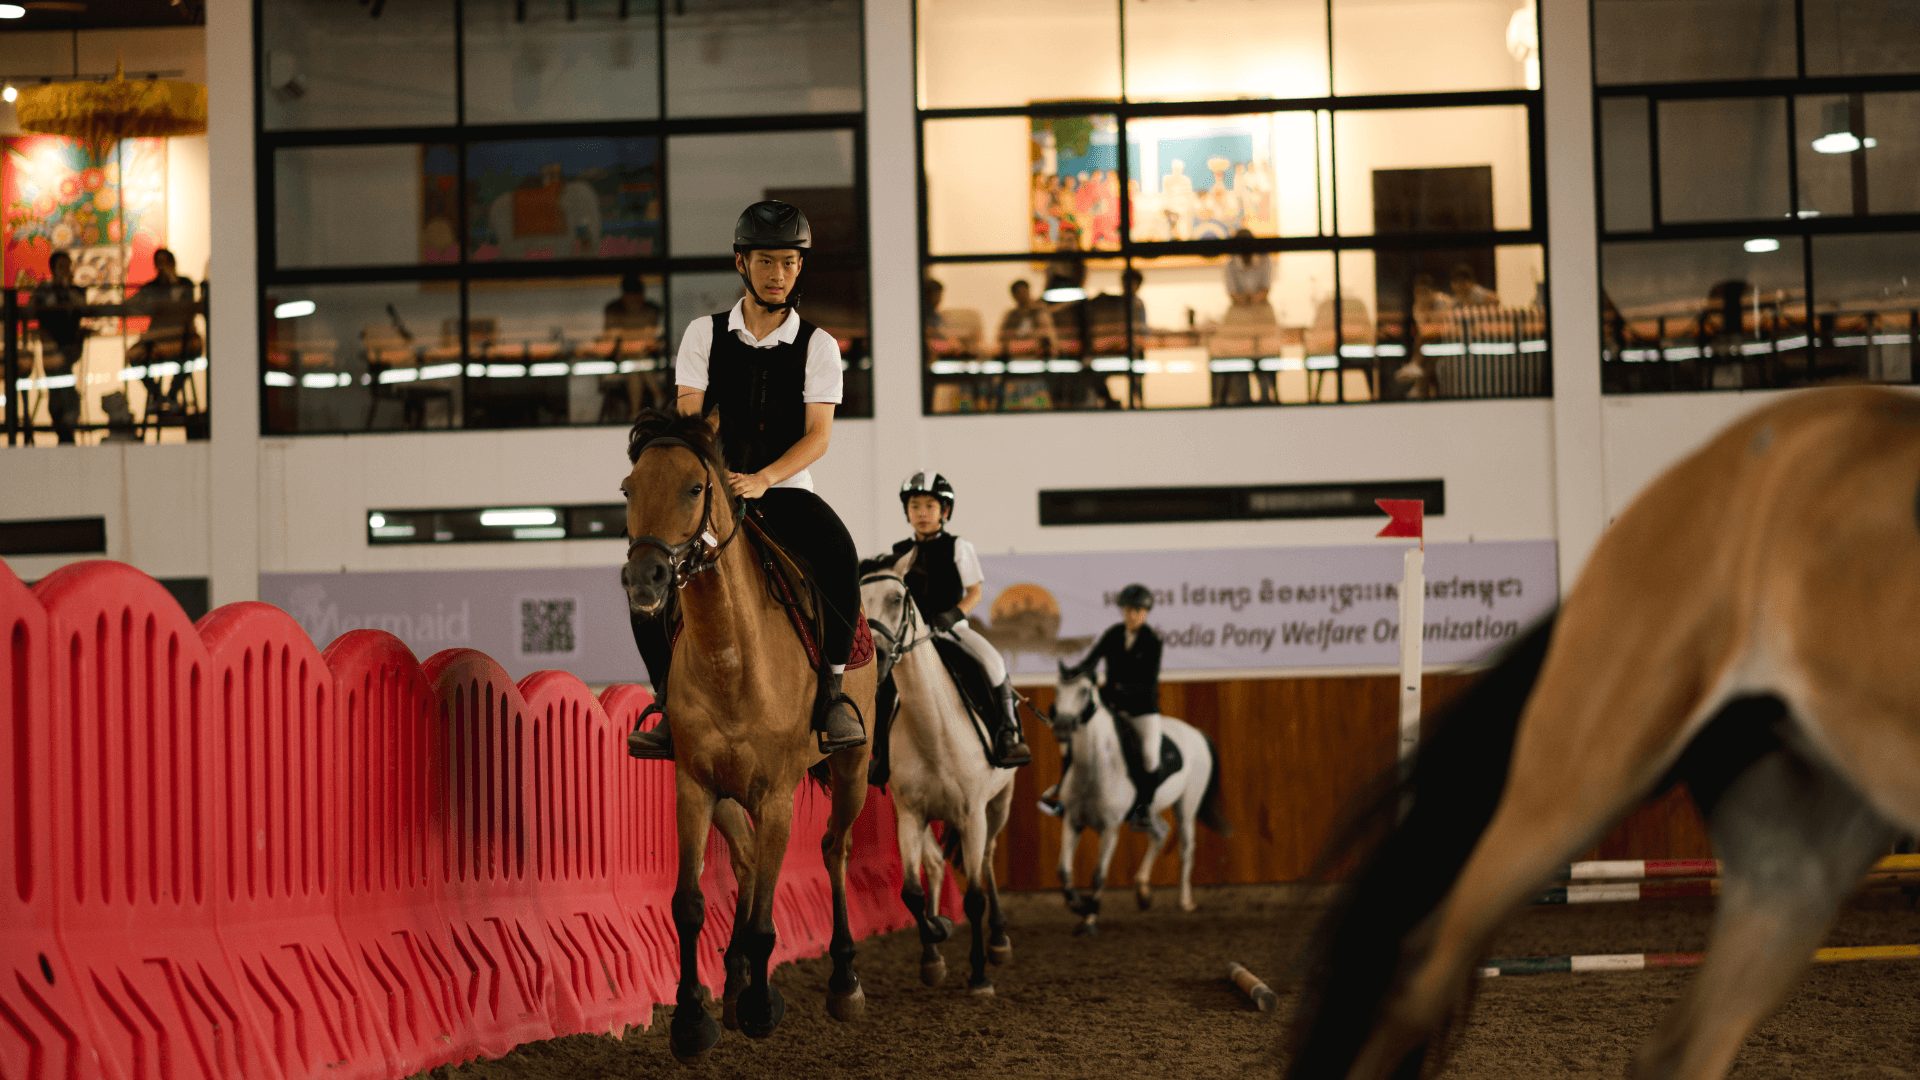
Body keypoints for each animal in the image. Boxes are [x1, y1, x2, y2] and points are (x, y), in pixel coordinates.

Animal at [860, 553, 1021, 991]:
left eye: (898, 598)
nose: (878, 657)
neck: (934, 730)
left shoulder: (972, 815)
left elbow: (975, 897)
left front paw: (979, 975)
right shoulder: (910, 815)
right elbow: (911, 893)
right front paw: (936, 937)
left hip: (998, 806)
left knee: (987, 860)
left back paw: (999, 941)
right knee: (934, 866)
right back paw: (933, 952)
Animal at [1052, 661, 1228, 930]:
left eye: (1083, 691)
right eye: (1058, 690)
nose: (1062, 726)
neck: (1095, 768)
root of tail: (1196, 733)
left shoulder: (1110, 828)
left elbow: (1098, 875)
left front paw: (1090, 917)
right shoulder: (1073, 821)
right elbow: (1063, 870)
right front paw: (1078, 906)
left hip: (1187, 805)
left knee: (1186, 847)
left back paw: (1185, 901)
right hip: (1149, 810)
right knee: (1160, 833)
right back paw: (1143, 891)